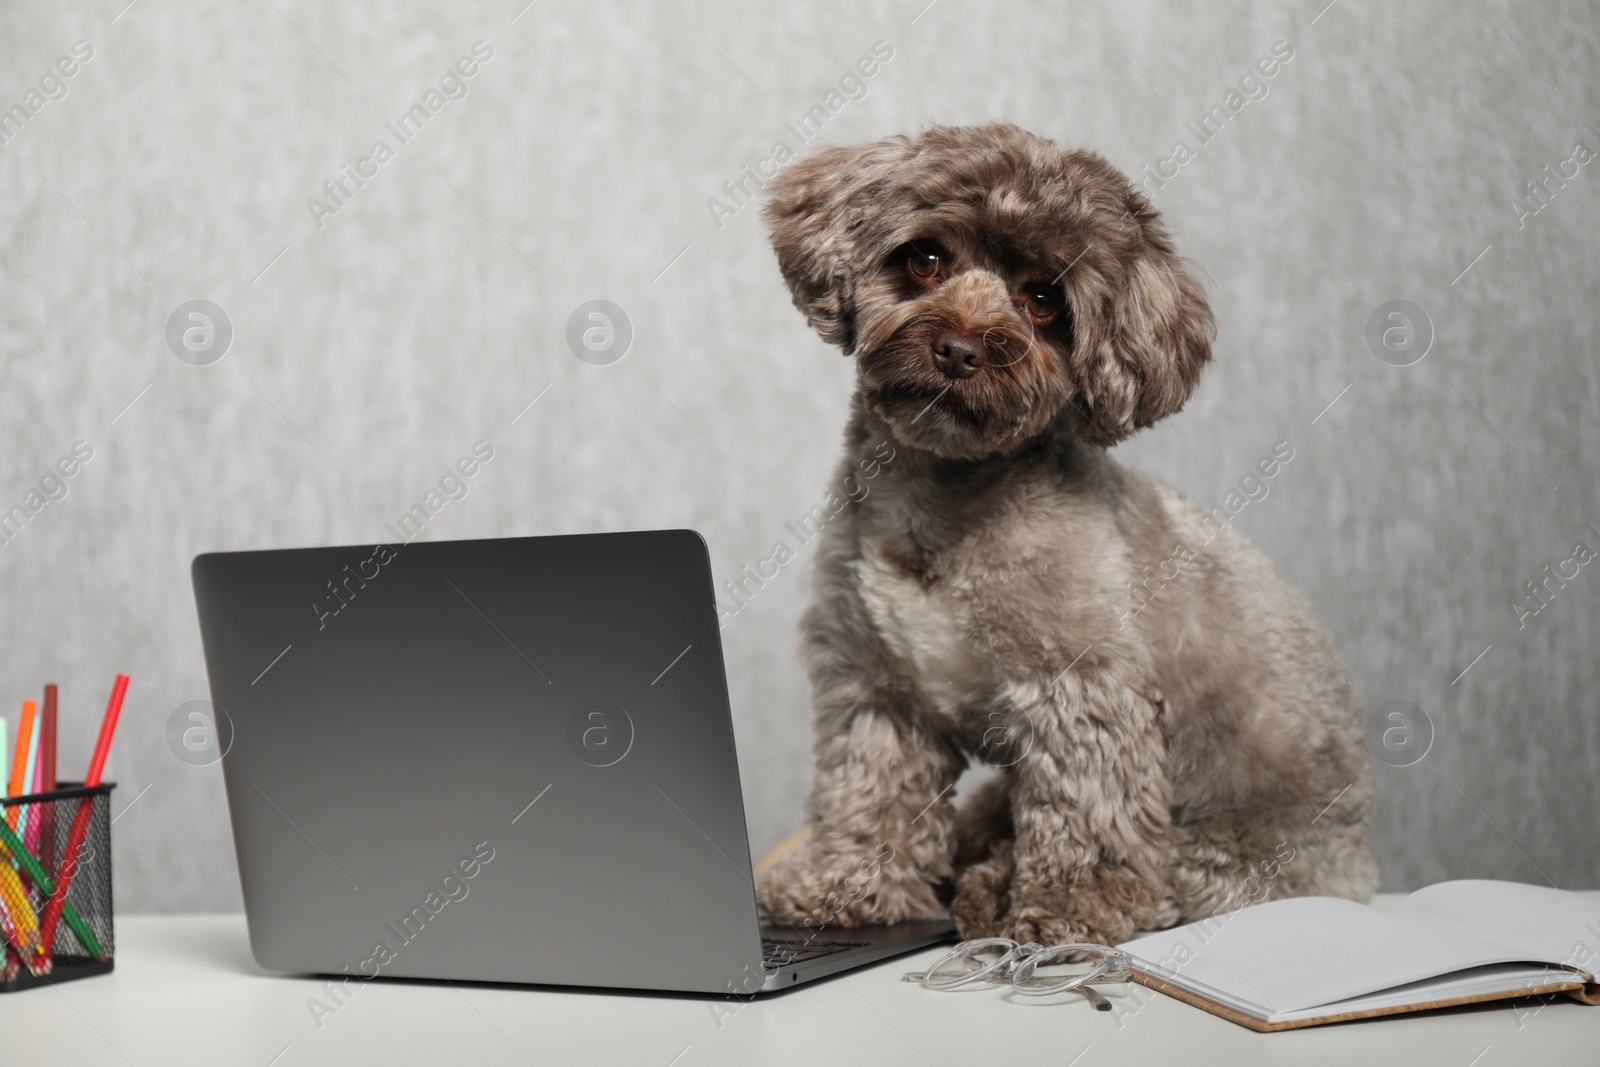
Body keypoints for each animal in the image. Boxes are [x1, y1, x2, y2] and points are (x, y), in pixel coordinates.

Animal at [752, 120, 1376, 947]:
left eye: (1044, 300)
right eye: (925, 259)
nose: (960, 349)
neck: (943, 498)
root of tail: (1361, 865)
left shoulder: (1081, 688)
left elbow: (1086, 812)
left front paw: (1064, 907)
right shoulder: (878, 687)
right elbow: (871, 793)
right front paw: (845, 883)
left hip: (1233, 857)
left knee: (1166, 873)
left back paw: (992, 888)